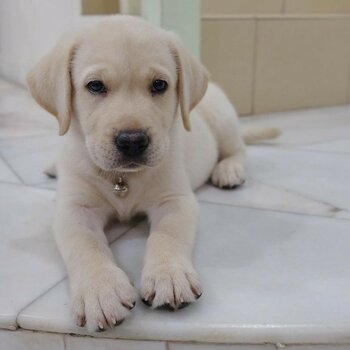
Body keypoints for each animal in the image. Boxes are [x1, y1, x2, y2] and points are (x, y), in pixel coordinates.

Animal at [27, 15, 278, 330]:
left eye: (159, 85)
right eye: (95, 86)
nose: (133, 141)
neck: (122, 178)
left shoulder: (175, 200)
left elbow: (166, 235)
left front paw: (169, 275)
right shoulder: (74, 209)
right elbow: (85, 246)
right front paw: (100, 290)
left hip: (223, 119)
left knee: (238, 148)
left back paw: (229, 169)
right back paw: (52, 166)